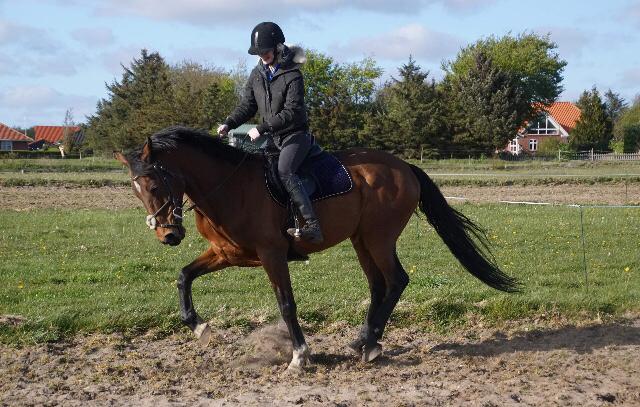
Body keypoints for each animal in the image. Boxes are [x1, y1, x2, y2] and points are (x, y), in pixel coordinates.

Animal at [114, 126, 516, 372]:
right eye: (135, 190)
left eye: (154, 184)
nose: (168, 235)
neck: (229, 187)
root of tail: (404, 167)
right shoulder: (228, 254)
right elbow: (184, 276)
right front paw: (200, 327)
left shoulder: (272, 255)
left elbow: (287, 305)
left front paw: (299, 356)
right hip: (361, 240)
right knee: (378, 286)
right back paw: (364, 341)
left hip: (379, 237)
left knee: (396, 281)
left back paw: (370, 343)